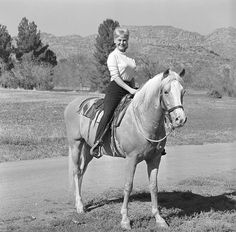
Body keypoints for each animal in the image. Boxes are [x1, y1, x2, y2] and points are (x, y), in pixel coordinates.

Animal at [64, 68, 186, 229]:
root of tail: (73, 103)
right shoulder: (131, 159)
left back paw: (81, 204)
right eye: (166, 91)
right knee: (76, 171)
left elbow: (153, 186)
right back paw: (79, 206)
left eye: (183, 92)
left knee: (81, 172)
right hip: (76, 144)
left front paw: (159, 219)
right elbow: (128, 186)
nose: (180, 119)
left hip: (89, 149)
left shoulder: (155, 158)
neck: (143, 119)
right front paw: (125, 220)